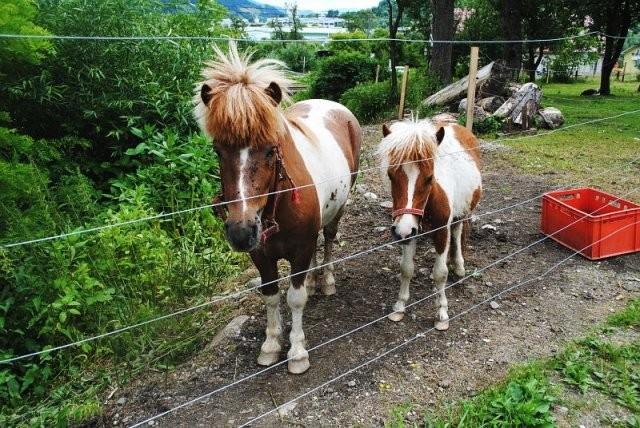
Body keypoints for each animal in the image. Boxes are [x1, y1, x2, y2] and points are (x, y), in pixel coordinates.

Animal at [192, 41, 362, 372]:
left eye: (271, 149)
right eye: (217, 150)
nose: (241, 231)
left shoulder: (300, 248)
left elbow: (294, 298)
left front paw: (297, 352)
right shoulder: (261, 254)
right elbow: (271, 295)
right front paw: (270, 345)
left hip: (339, 208)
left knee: (329, 239)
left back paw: (326, 281)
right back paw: (313, 282)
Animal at [376, 120, 480, 332]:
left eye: (430, 177)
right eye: (390, 175)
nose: (401, 230)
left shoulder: (441, 232)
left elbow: (440, 273)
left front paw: (442, 313)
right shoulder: (409, 232)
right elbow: (406, 268)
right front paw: (400, 306)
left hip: (463, 212)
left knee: (457, 232)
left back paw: (459, 266)